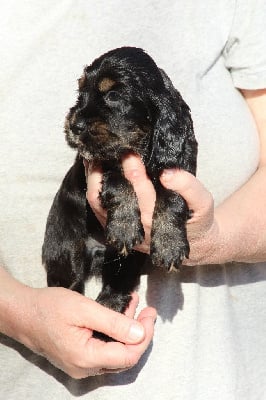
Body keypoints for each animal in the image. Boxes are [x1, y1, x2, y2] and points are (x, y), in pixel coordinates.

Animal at [42, 46, 197, 324]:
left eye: (113, 95)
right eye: (81, 93)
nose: (74, 125)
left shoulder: (180, 168)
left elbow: (172, 197)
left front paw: (170, 244)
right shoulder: (101, 163)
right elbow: (119, 179)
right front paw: (124, 226)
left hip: (128, 259)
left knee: (116, 283)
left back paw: (109, 308)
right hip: (65, 248)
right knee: (68, 285)